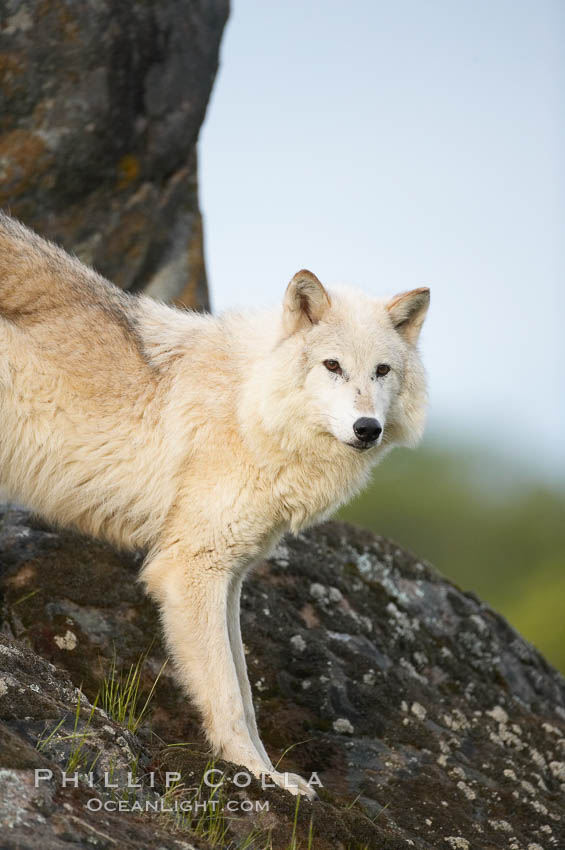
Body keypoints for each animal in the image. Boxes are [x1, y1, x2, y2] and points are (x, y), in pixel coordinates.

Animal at [0, 212, 429, 797]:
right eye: (332, 365)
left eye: (382, 370)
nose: (367, 428)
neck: (250, 407)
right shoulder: (191, 570)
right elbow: (226, 692)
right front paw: (256, 774)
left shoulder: (230, 577)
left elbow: (244, 690)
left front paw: (272, 774)